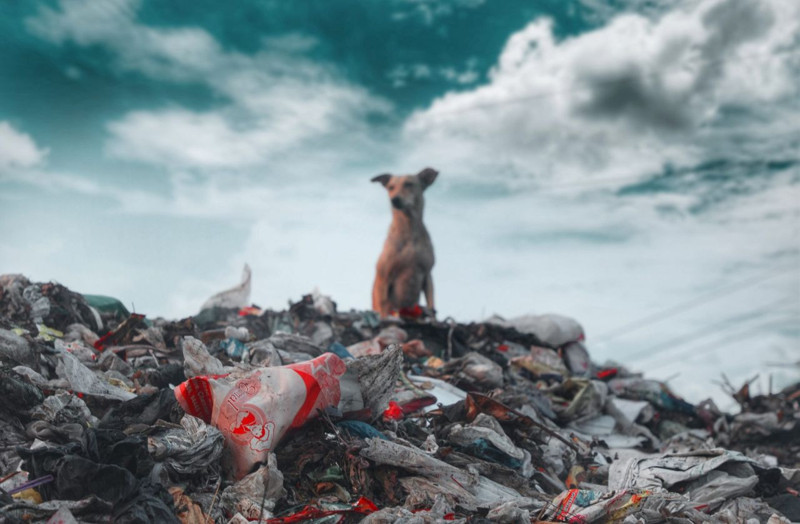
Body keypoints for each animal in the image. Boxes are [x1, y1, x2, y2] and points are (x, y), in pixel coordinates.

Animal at [374, 167, 440, 316]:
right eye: (391, 187)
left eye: (409, 184)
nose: (394, 200)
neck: (408, 230)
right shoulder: (384, 278)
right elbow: (383, 307)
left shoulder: (427, 275)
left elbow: (431, 305)